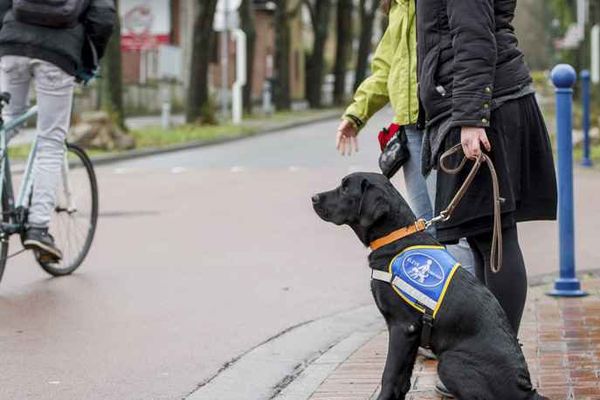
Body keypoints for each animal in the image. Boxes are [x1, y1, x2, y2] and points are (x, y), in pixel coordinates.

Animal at [312, 173, 548, 400]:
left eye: (345, 188)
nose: (313, 197)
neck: (395, 236)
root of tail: (526, 388)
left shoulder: (403, 327)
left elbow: (389, 374)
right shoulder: (411, 334)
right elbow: (402, 380)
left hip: (450, 362)